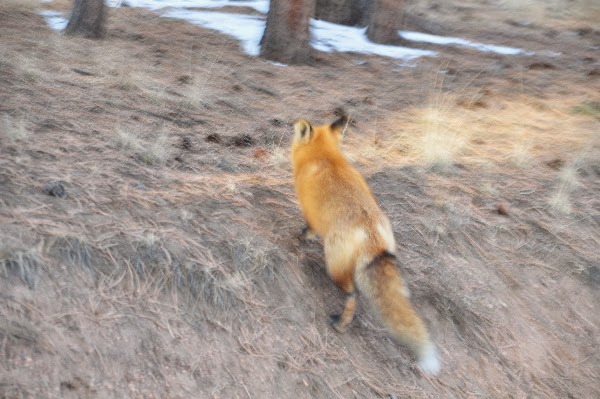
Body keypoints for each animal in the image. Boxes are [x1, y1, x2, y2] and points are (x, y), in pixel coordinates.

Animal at [290, 115, 440, 376]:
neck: (324, 156)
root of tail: (372, 235)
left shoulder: (309, 212)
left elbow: (308, 229)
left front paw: (302, 237)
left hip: (334, 265)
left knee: (353, 295)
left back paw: (341, 324)